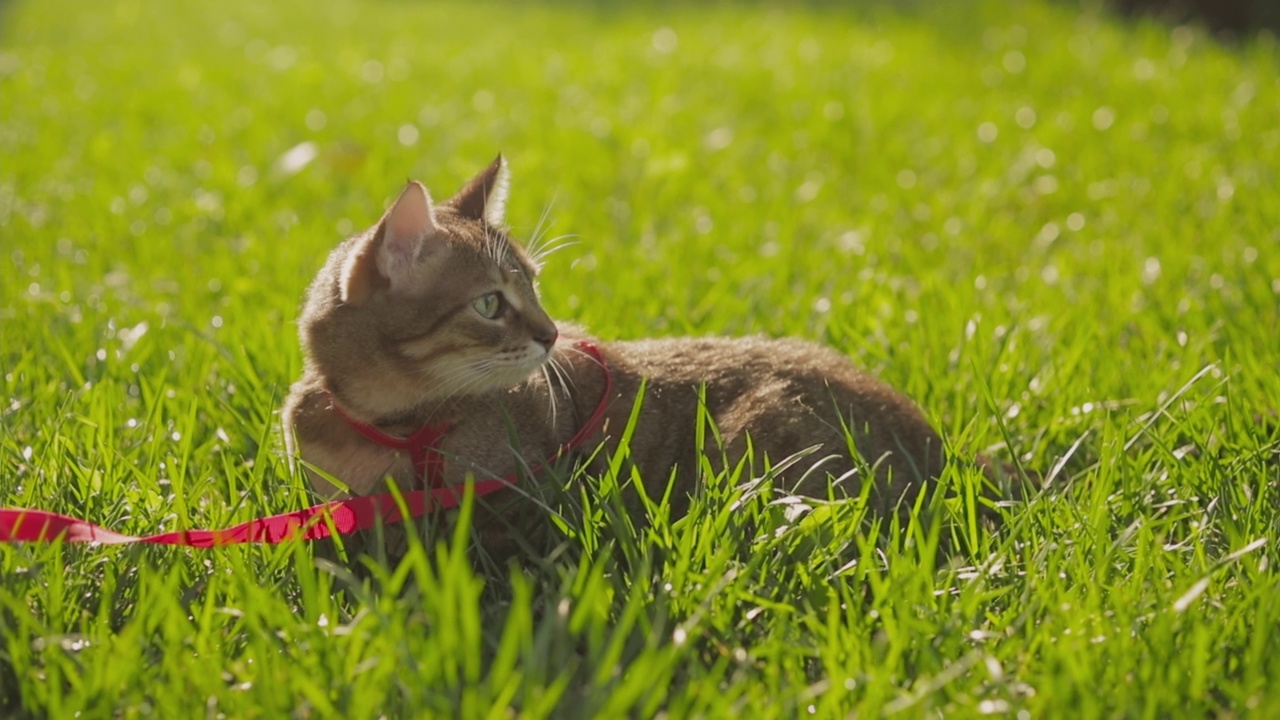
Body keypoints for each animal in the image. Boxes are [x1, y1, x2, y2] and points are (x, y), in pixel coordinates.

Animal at [282, 156, 962, 545]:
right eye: (490, 304)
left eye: (534, 285)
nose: (551, 333)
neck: (393, 428)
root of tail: (940, 447)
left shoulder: (515, 498)